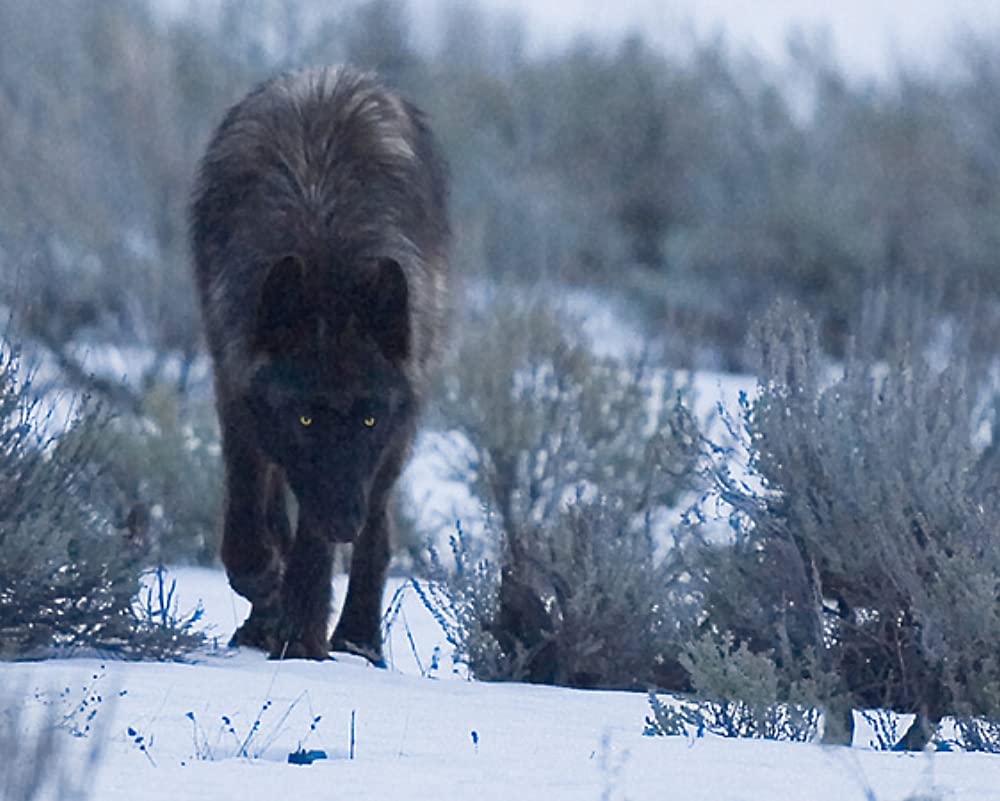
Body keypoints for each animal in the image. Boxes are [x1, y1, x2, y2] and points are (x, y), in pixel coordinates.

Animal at [190, 67, 449, 661]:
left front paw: (302, 638)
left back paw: (357, 640)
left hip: (400, 434)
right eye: (305, 417)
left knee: (378, 532)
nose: (343, 523)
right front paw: (268, 591)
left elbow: (315, 542)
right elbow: (248, 521)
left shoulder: (375, 444)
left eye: (369, 418)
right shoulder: (233, 387)